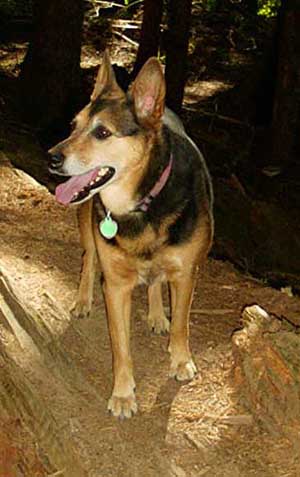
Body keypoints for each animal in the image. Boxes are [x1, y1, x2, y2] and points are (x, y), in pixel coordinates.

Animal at [48, 51, 213, 416]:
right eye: (73, 126)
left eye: (102, 132)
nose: (51, 158)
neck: (141, 202)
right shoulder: (116, 285)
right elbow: (121, 346)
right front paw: (123, 394)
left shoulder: (187, 273)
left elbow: (181, 323)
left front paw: (181, 360)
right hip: (87, 218)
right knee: (88, 257)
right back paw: (83, 299)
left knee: (155, 282)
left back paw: (156, 313)